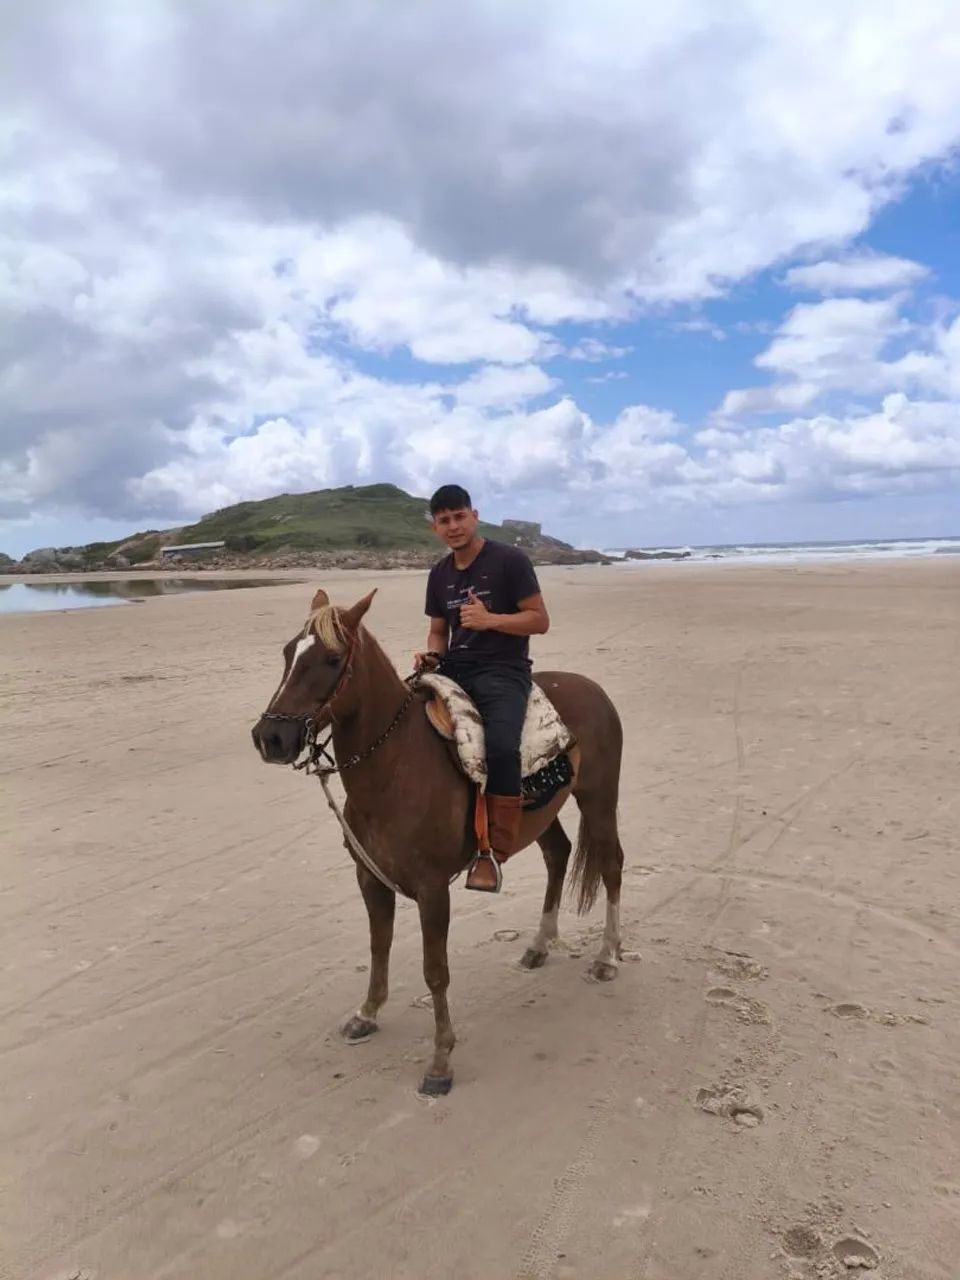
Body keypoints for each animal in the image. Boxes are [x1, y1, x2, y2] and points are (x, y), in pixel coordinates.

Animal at [251, 586, 625, 1096]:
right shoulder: (370, 878)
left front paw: (441, 1060)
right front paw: (368, 1013)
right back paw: (539, 945)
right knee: (558, 855)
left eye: (331, 659)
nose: (270, 736)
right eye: (288, 653)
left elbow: (435, 972)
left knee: (612, 866)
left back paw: (607, 956)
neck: (395, 765)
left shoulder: (432, 890)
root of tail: (594, 689)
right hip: (541, 812)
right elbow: (379, 946)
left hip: (599, 800)